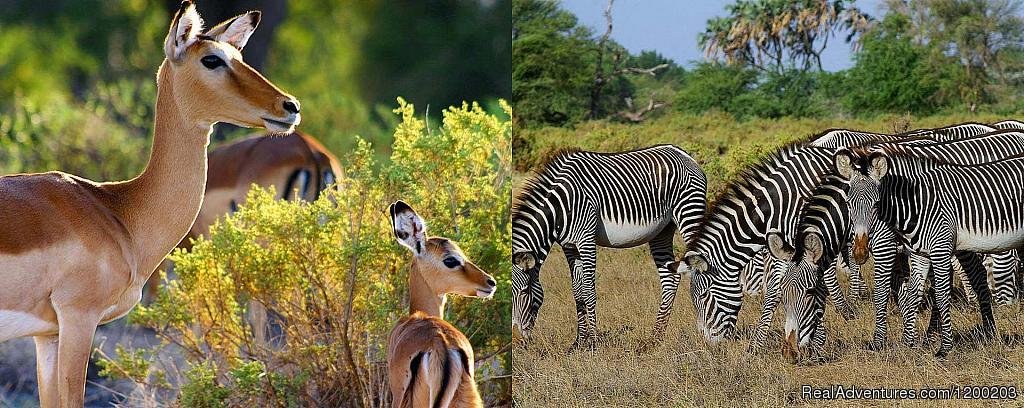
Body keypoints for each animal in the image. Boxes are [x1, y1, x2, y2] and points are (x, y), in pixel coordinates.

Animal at [509, 144, 708, 348]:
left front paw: (593, 342)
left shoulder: (586, 239)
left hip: (688, 213)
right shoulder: (569, 246)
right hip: (662, 231)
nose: (515, 340)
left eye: (524, 291)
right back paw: (655, 338)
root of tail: (683, 153)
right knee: (670, 278)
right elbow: (577, 291)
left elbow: (588, 290)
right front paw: (579, 341)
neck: (559, 207)